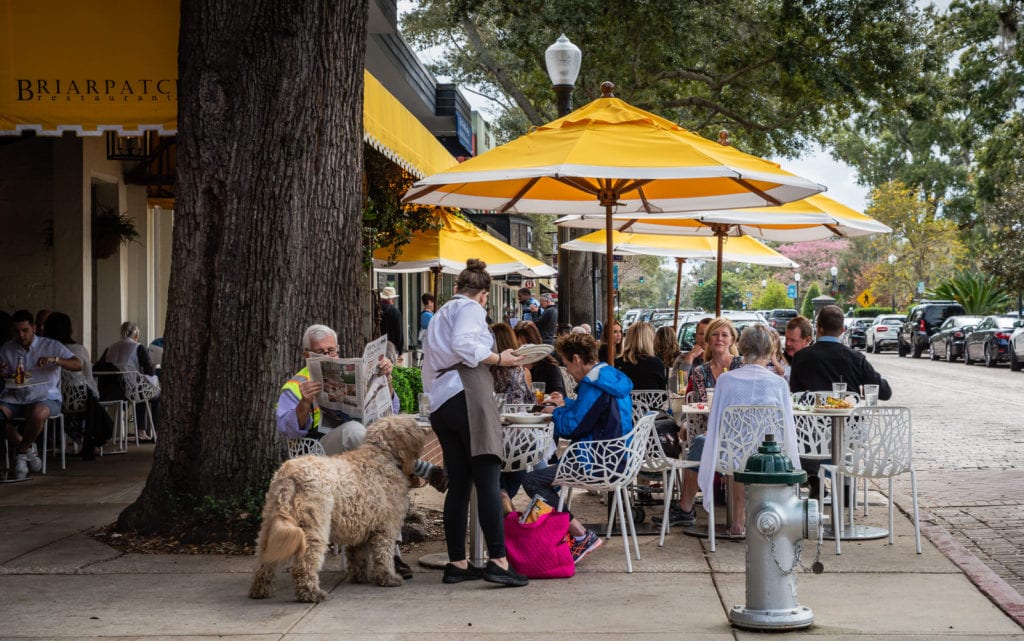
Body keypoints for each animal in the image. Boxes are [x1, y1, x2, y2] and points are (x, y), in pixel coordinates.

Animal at [247, 411, 423, 602]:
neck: (381, 454)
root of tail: (290, 476)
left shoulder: (360, 525)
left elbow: (357, 556)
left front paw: (359, 577)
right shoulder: (386, 527)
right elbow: (383, 555)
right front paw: (389, 578)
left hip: (270, 525)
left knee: (265, 560)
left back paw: (260, 590)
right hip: (315, 527)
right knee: (305, 563)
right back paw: (311, 593)